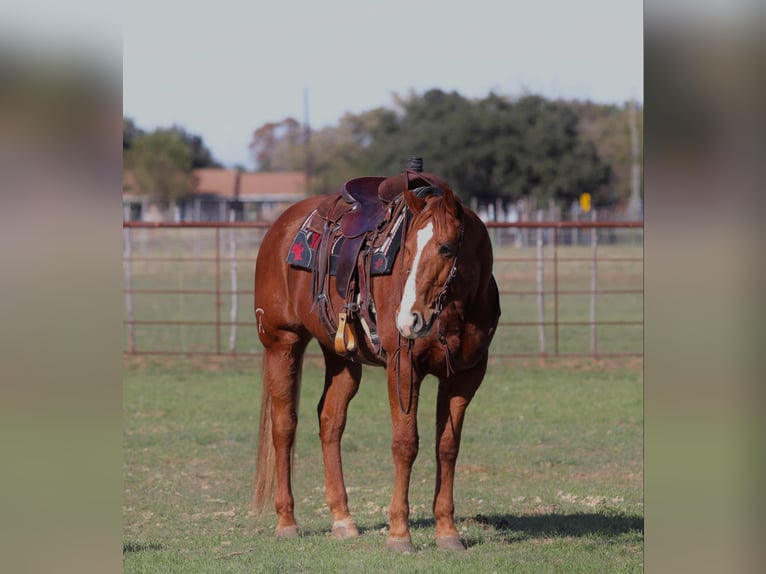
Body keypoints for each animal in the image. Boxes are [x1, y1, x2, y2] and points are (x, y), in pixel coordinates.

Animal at [252, 165, 501, 552]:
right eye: (407, 248)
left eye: (445, 248)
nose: (409, 319)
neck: (455, 309)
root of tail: (280, 227)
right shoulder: (403, 367)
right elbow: (405, 444)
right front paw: (399, 534)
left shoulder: (466, 375)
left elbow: (447, 447)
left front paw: (448, 531)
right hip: (282, 342)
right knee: (284, 425)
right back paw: (287, 521)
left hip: (341, 356)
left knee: (330, 421)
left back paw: (342, 519)